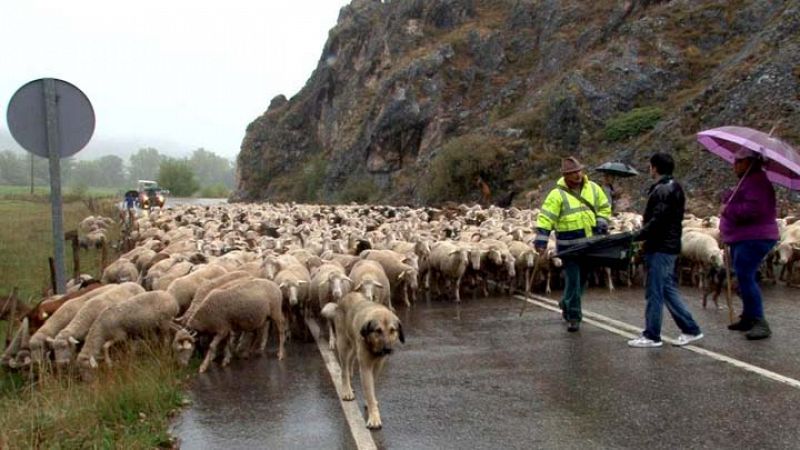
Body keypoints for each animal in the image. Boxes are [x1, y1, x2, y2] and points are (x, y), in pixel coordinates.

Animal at [320, 292, 404, 428]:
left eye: (392, 330)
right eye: (378, 330)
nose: (387, 349)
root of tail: (344, 298)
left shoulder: (378, 365)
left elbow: (371, 388)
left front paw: (370, 402)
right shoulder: (365, 367)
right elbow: (369, 390)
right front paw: (374, 417)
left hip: (354, 346)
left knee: (350, 360)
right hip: (343, 344)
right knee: (344, 369)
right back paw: (347, 390)